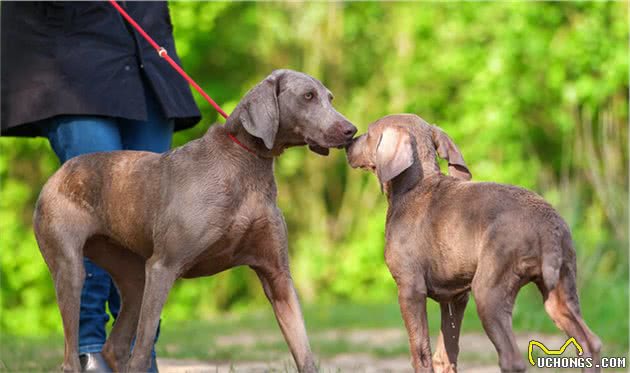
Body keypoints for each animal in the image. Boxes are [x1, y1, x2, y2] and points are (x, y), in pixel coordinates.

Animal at [34, 69, 358, 370]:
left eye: (330, 98)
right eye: (307, 96)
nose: (351, 130)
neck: (246, 164)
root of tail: (57, 174)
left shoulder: (278, 275)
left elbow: (304, 351)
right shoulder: (163, 267)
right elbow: (143, 348)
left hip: (133, 276)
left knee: (115, 346)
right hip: (71, 268)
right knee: (72, 355)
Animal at [346, 114, 604, 372]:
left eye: (369, 133)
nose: (348, 142)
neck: (414, 186)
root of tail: (548, 222)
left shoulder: (410, 288)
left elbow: (421, 352)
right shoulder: (455, 297)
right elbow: (445, 355)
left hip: (489, 290)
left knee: (513, 359)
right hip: (561, 289)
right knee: (590, 342)